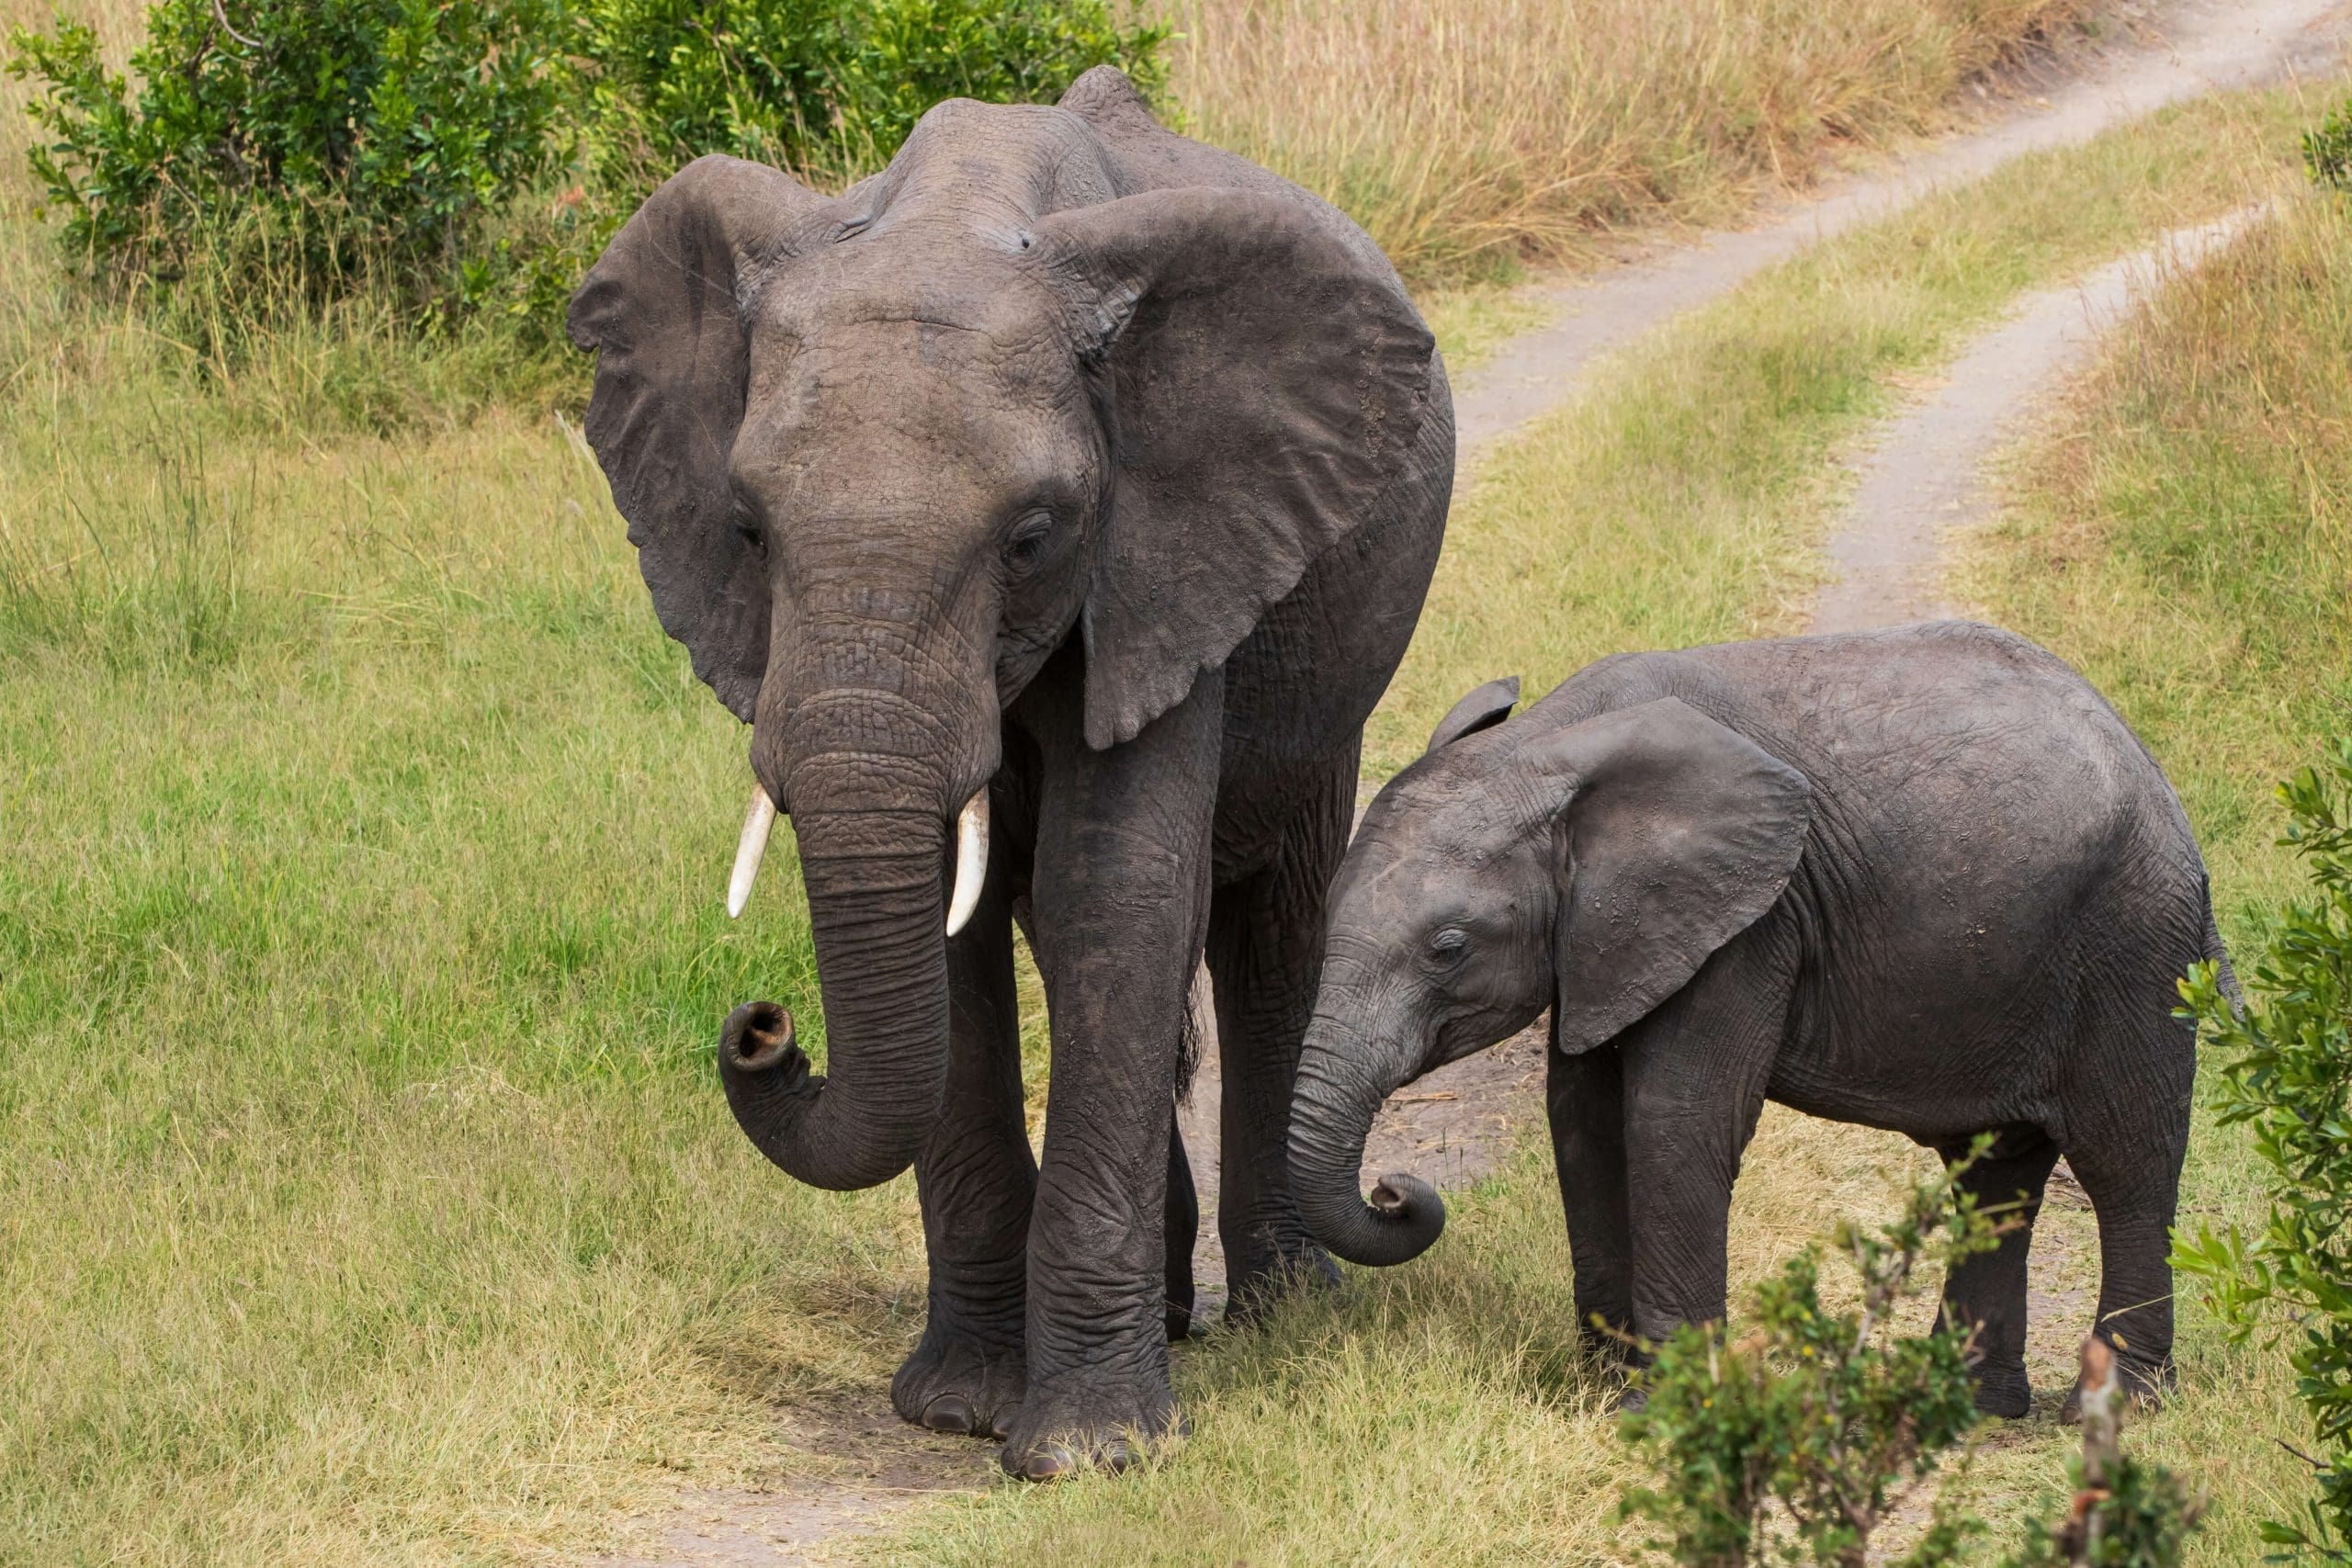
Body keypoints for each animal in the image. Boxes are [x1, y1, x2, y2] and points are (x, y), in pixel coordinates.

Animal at [566, 67, 1453, 1477]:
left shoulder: (1165, 557)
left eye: (1034, 536)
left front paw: (1091, 1452)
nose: (763, 1028)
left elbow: (1118, 899)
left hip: (1330, 665)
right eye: (748, 530)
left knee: (1265, 929)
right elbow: (965, 939)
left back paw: (1284, 1314)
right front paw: (956, 1408)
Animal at [1287, 621, 2231, 1418]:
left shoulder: (1746, 923)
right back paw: (1962, 1404)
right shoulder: (1607, 938)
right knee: (1993, 1174)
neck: (1547, 742)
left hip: (2136, 943)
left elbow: (1675, 1120)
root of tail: (2157, 777)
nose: (1394, 1186)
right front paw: (1605, 1392)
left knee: (2127, 1162)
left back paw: (2116, 1407)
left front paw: (1659, 1410)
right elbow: (1583, 1120)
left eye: (1447, 947)